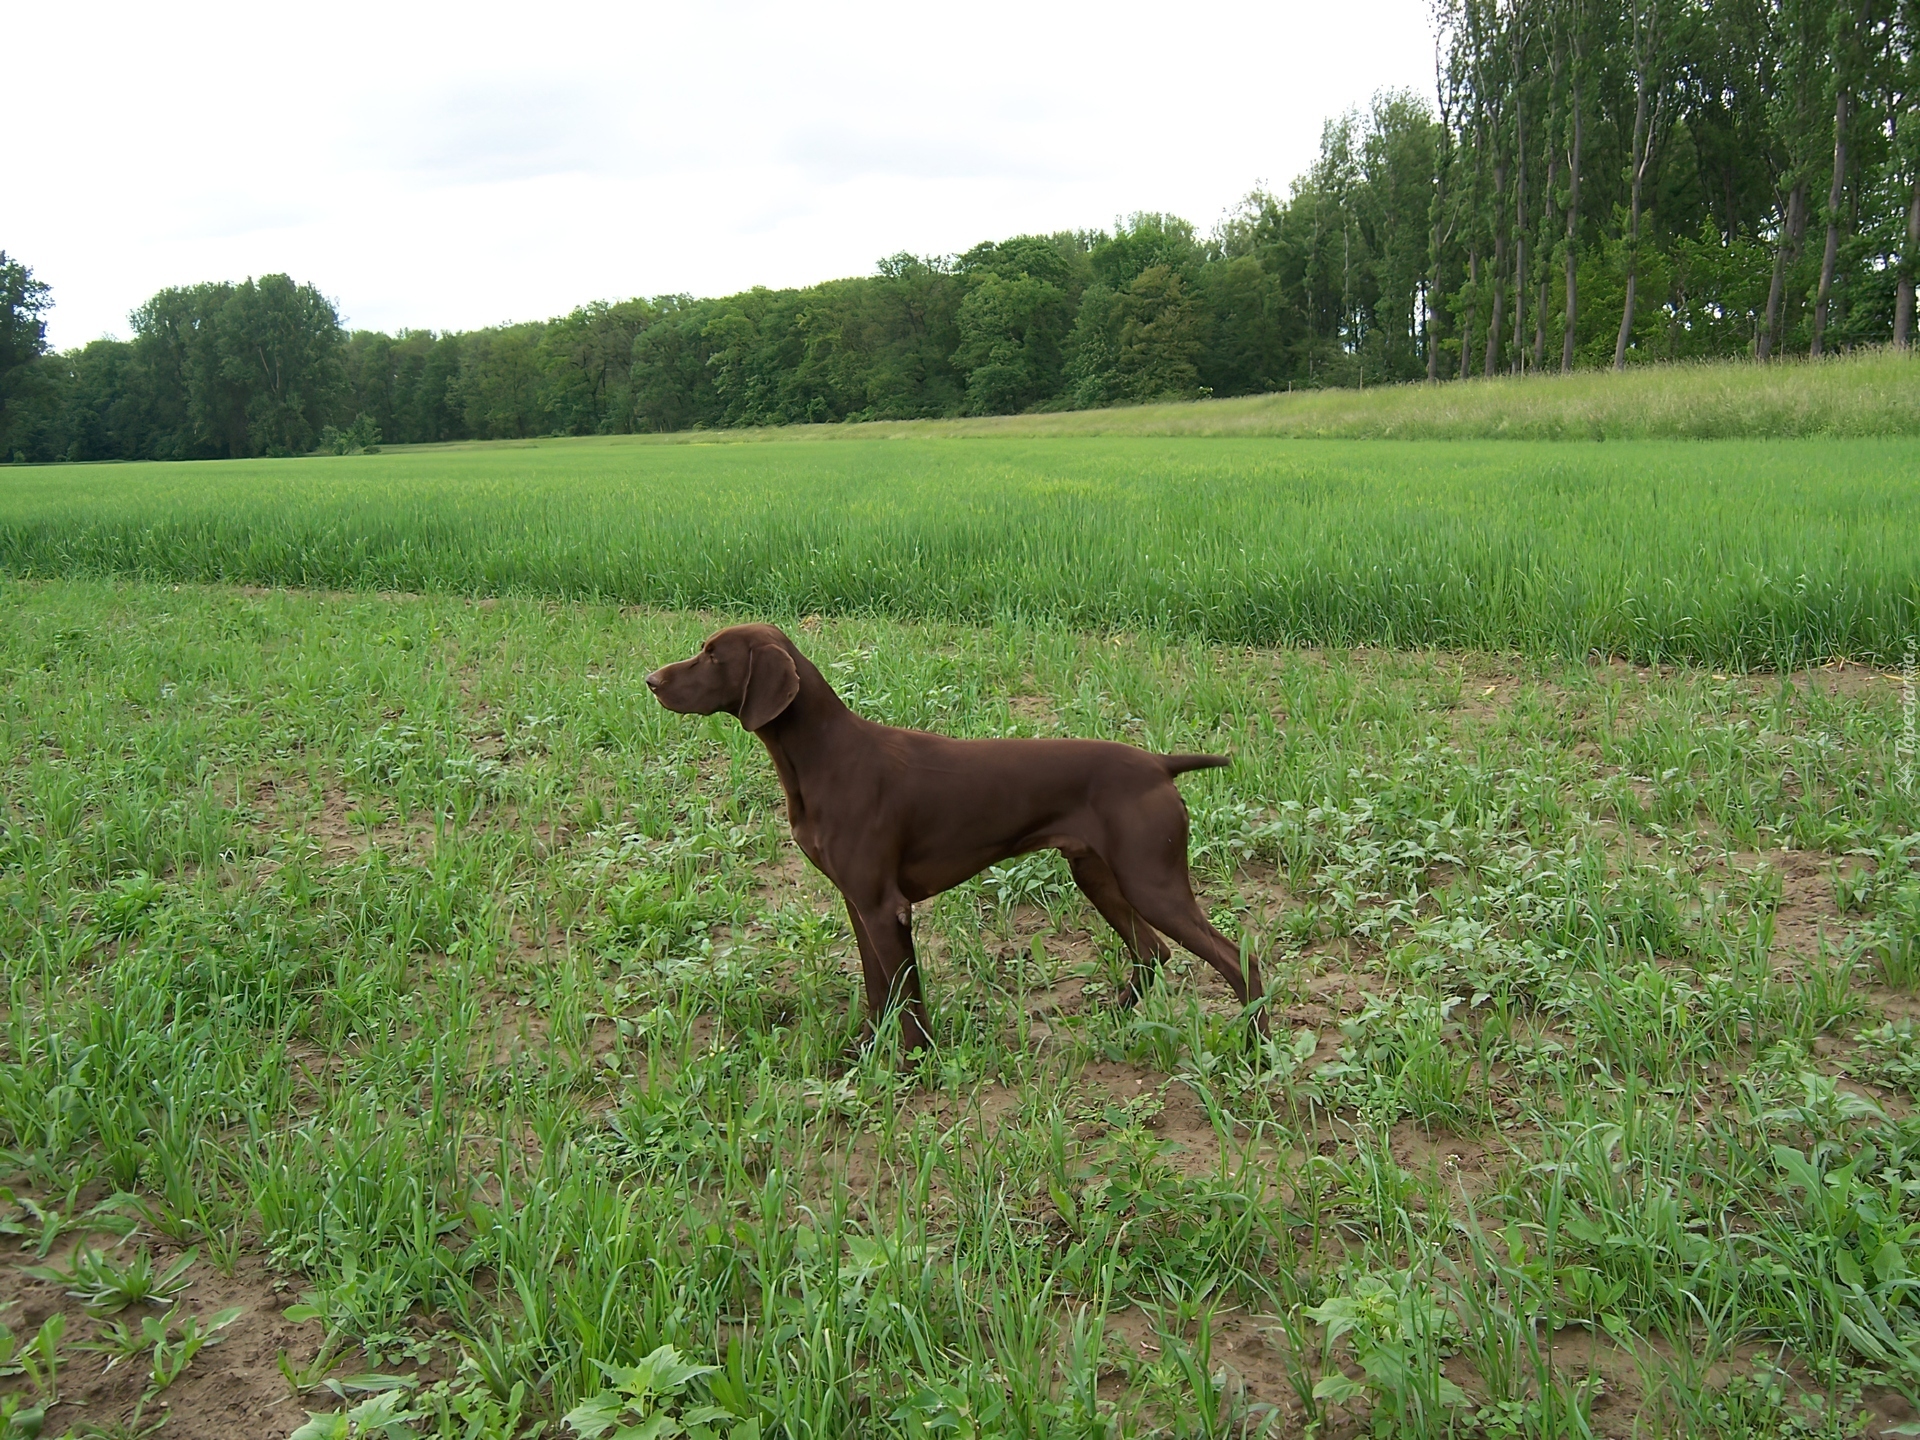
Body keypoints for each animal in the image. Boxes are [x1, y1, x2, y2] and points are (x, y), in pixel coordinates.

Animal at [652, 625, 1267, 1052]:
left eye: (714, 655)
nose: (651, 681)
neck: (824, 758)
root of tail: (1159, 765)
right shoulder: (857, 901)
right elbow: (879, 991)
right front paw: (866, 1051)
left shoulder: (885, 907)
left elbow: (908, 999)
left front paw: (916, 1066)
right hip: (1097, 874)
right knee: (1152, 952)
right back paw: (1114, 1017)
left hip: (1151, 881)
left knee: (1239, 960)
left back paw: (1254, 1048)